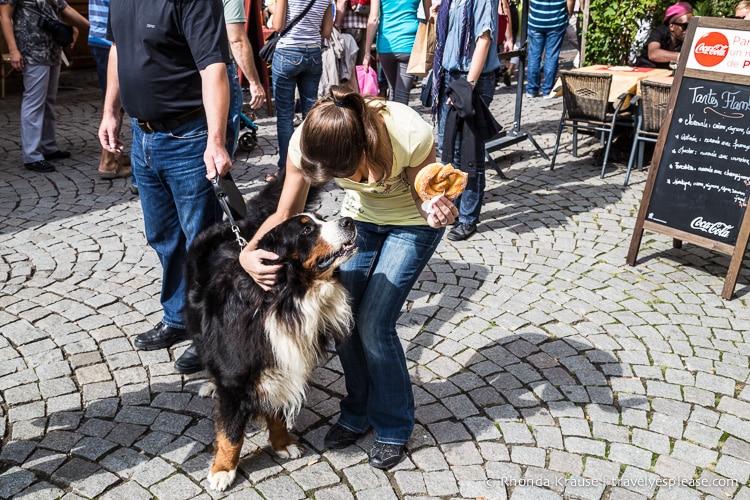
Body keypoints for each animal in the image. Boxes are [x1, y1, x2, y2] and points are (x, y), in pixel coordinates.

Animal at [184, 178, 356, 490]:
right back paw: (211, 384)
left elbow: (276, 409)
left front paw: (282, 443)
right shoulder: (237, 377)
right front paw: (222, 470)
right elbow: (230, 433)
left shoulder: (281, 363)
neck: (284, 298)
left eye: (322, 219)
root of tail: (237, 223)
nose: (349, 221)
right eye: (306, 230)